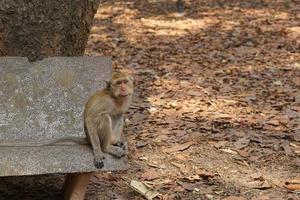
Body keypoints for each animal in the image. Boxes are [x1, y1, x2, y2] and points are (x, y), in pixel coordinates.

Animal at [0, 72, 132, 169]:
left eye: (125, 82)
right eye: (119, 83)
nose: (124, 88)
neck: (115, 98)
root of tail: (87, 138)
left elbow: (119, 115)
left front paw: (117, 142)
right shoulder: (105, 102)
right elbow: (90, 119)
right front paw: (98, 152)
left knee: (117, 116)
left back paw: (113, 143)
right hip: (93, 136)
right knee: (104, 117)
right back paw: (106, 148)